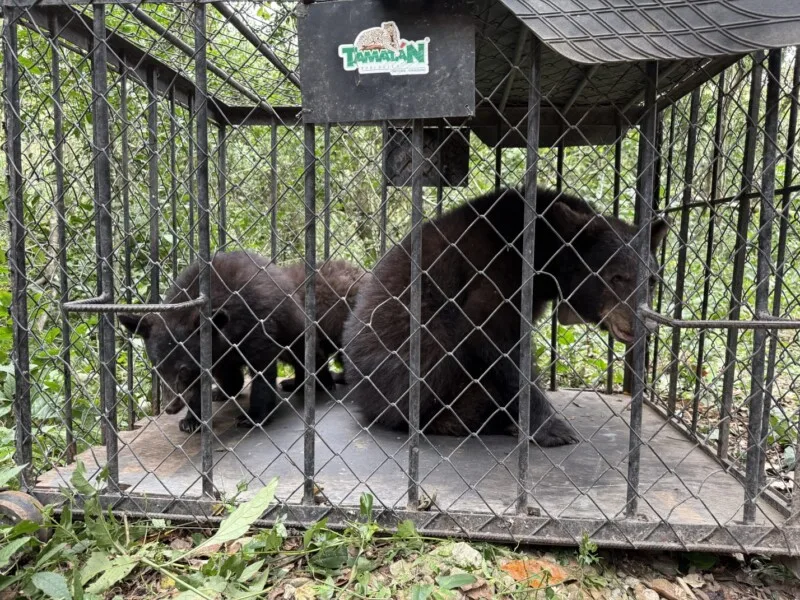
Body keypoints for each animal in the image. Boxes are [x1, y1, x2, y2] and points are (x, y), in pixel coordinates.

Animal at [119, 251, 306, 433]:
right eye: (158, 369)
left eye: (183, 370)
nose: (170, 407)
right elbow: (198, 388)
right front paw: (192, 420)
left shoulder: (257, 325)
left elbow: (262, 370)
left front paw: (254, 417)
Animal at [342, 186, 668, 446]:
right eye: (616, 277)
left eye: (653, 280)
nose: (647, 324)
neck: (543, 248)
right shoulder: (498, 270)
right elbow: (489, 333)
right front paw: (553, 428)